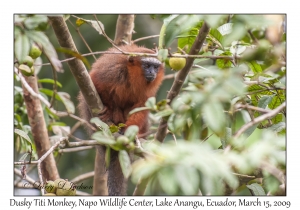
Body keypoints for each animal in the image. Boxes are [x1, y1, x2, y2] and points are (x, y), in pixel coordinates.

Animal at [78, 44, 164, 195]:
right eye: (147, 65)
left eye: (155, 67)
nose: (152, 72)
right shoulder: (113, 71)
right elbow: (95, 83)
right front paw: (109, 108)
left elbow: (141, 107)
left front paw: (128, 131)